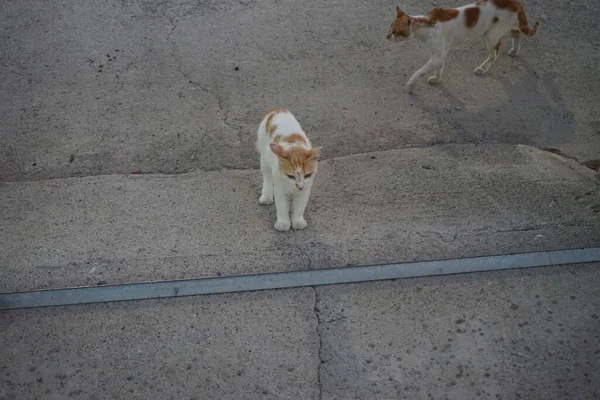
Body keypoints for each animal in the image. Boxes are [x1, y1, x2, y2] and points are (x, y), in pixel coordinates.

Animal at [386, 0, 540, 92]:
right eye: (389, 28)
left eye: (395, 32)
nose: (386, 37)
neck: (425, 26)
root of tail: (514, 2)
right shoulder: (440, 53)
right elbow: (438, 68)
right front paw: (437, 79)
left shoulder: (437, 55)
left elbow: (421, 71)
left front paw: (411, 83)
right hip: (497, 31)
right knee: (516, 32)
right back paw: (515, 50)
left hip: (491, 36)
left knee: (494, 54)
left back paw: (482, 69)